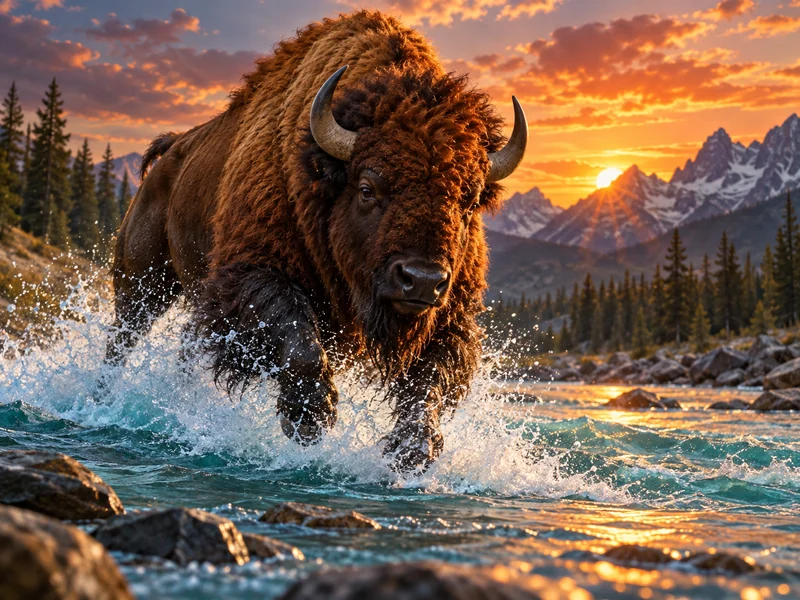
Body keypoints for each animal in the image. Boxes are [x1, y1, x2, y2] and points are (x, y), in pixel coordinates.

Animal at [107, 11, 527, 473]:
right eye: (367, 189)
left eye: (468, 202)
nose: (420, 279)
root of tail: (170, 152)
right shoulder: (253, 275)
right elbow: (300, 341)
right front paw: (310, 421)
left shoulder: (449, 316)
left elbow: (428, 384)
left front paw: (413, 450)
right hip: (143, 281)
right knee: (121, 339)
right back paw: (101, 396)